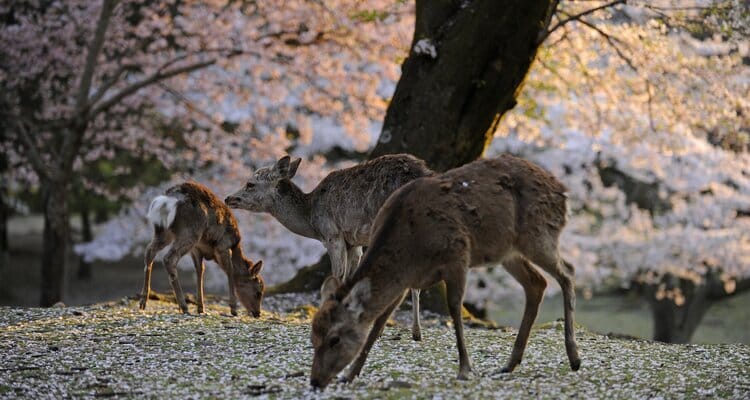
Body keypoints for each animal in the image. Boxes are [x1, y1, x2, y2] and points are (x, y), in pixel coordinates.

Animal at [139, 181, 265, 317]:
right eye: (258, 291)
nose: (257, 313)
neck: (235, 246)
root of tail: (167, 200)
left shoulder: (196, 249)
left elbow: (200, 271)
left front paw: (201, 308)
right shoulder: (223, 246)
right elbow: (230, 270)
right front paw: (233, 309)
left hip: (163, 231)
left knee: (149, 251)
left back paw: (143, 302)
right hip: (189, 232)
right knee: (169, 258)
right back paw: (184, 306)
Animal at [225, 154, 434, 340]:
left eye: (250, 184)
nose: (228, 198)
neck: (312, 219)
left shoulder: (333, 234)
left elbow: (337, 277)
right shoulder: (353, 242)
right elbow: (350, 278)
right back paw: (415, 332)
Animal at [309, 154, 581, 389]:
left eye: (335, 339)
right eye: (313, 337)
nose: (315, 381)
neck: (410, 251)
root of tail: (563, 191)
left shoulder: (457, 256)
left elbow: (454, 309)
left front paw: (464, 369)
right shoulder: (404, 279)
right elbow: (379, 323)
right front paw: (350, 374)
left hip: (538, 233)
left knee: (567, 272)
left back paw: (574, 357)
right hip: (508, 251)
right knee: (537, 283)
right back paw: (509, 365)